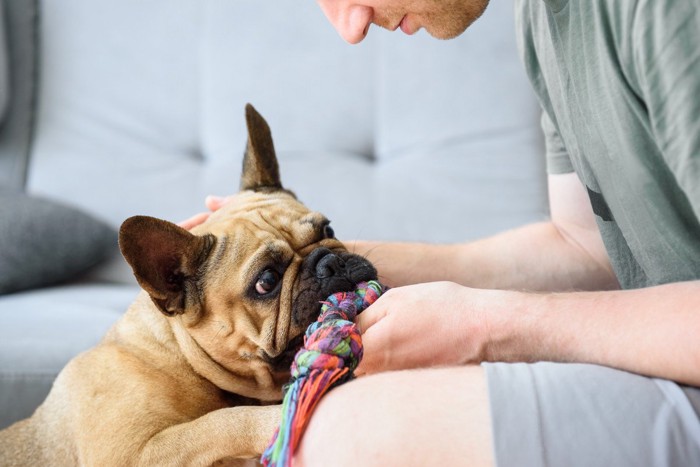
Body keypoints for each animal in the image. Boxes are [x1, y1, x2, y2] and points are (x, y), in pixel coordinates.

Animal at [0, 106, 378, 467]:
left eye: (328, 229)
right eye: (266, 282)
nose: (329, 263)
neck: (182, 358)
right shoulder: (130, 454)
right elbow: (221, 422)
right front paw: (279, 416)